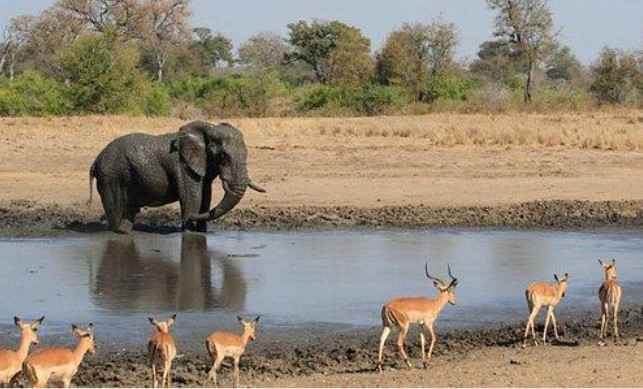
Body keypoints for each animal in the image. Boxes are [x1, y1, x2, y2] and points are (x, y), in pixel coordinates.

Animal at [88, 119, 264, 232]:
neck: (208, 130)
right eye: (223, 156)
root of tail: (96, 160)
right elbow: (193, 199)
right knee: (115, 216)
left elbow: (205, 198)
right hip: (111, 177)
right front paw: (190, 232)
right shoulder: (182, 166)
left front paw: (201, 232)